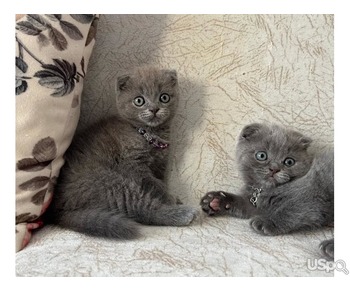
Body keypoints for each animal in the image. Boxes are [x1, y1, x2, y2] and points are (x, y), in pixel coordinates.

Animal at [46, 66, 198, 240]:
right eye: (139, 101)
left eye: (164, 97)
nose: (154, 109)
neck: (146, 134)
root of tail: (58, 211)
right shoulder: (132, 165)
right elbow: (155, 184)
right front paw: (170, 197)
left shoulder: (160, 165)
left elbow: (159, 180)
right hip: (110, 183)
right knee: (142, 209)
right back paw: (184, 214)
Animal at [200, 123, 334, 260]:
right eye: (261, 155)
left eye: (289, 161)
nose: (274, 169)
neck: (264, 190)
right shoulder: (255, 204)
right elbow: (241, 205)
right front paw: (215, 201)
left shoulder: (311, 196)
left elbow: (290, 211)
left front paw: (267, 222)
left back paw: (329, 247)